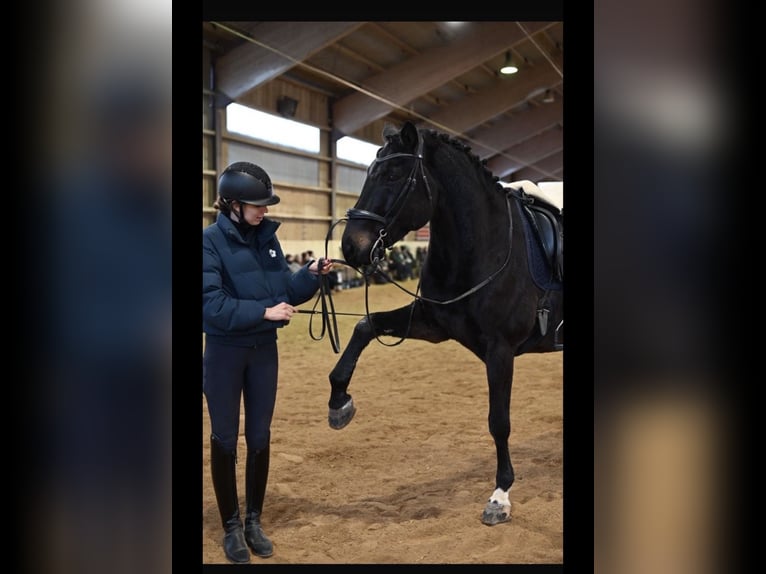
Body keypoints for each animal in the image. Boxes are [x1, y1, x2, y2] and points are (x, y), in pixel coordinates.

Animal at [326, 120, 563, 525]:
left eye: (393, 174)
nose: (353, 247)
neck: (487, 245)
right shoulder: (433, 324)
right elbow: (365, 327)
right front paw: (339, 402)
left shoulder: (501, 350)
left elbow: (499, 421)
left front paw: (500, 497)